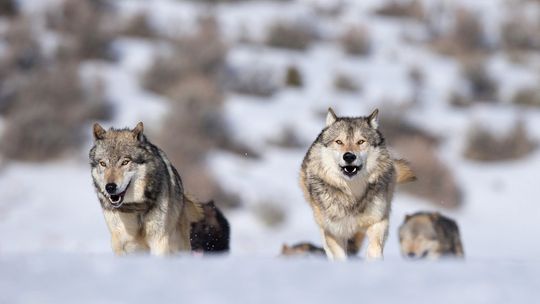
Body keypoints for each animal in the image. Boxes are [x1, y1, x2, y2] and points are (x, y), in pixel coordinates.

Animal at [89, 122, 204, 255]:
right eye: (103, 164)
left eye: (125, 162)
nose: (110, 187)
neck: (135, 207)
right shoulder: (119, 243)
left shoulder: (159, 241)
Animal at [298, 108, 416, 260]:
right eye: (339, 142)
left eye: (361, 141)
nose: (349, 156)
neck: (352, 194)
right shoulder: (334, 231)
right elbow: (340, 257)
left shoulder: (378, 220)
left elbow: (375, 246)